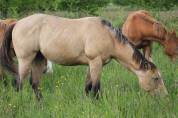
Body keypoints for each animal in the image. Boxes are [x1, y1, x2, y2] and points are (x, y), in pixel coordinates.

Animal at [0, 13, 168, 100]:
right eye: (156, 78)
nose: (165, 96)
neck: (108, 36)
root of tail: (17, 23)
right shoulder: (96, 62)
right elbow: (95, 87)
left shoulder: (92, 64)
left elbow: (88, 87)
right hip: (25, 60)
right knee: (18, 83)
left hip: (38, 59)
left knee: (34, 84)